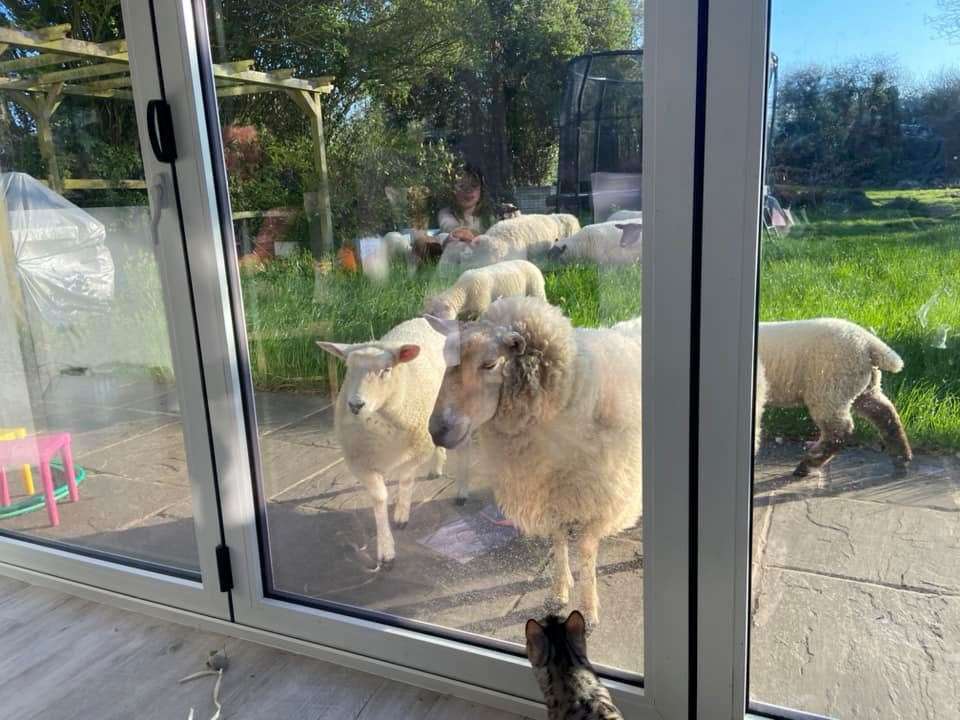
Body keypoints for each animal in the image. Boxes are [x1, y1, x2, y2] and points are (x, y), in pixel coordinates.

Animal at [316, 320, 448, 568]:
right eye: (348, 368)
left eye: (386, 370)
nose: (355, 405)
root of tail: (422, 319)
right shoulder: (360, 463)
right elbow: (379, 498)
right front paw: (386, 548)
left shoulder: (416, 452)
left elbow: (405, 480)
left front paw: (401, 515)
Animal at [426, 298, 636, 624]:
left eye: (490, 364)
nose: (437, 430)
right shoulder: (548, 491)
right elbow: (558, 540)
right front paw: (559, 590)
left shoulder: (598, 498)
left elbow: (586, 551)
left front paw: (589, 609)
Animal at [752, 318, 912, 476]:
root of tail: (869, 343)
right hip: (864, 385)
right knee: (884, 412)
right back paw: (901, 457)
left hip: (830, 385)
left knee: (839, 429)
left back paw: (808, 464)